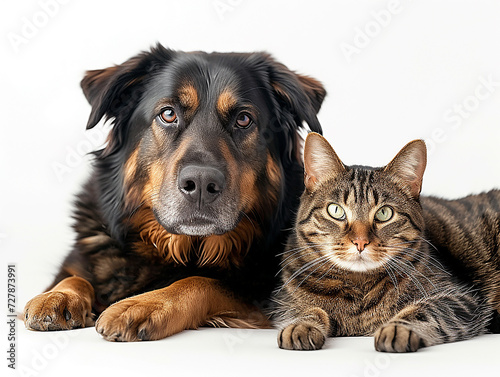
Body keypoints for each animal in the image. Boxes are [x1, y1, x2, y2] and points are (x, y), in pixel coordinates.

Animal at [23, 44, 326, 340]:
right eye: (168, 114)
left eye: (243, 119)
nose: (201, 184)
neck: (183, 247)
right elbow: (74, 277)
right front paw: (58, 296)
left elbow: (202, 281)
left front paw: (143, 304)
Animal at [276, 132, 498, 350]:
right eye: (336, 210)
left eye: (384, 213)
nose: (360, 242)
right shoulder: (287, 301)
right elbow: (307, 309)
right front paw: (300, 325)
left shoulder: (460, 298)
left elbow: (423, 310)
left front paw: (397, 328)